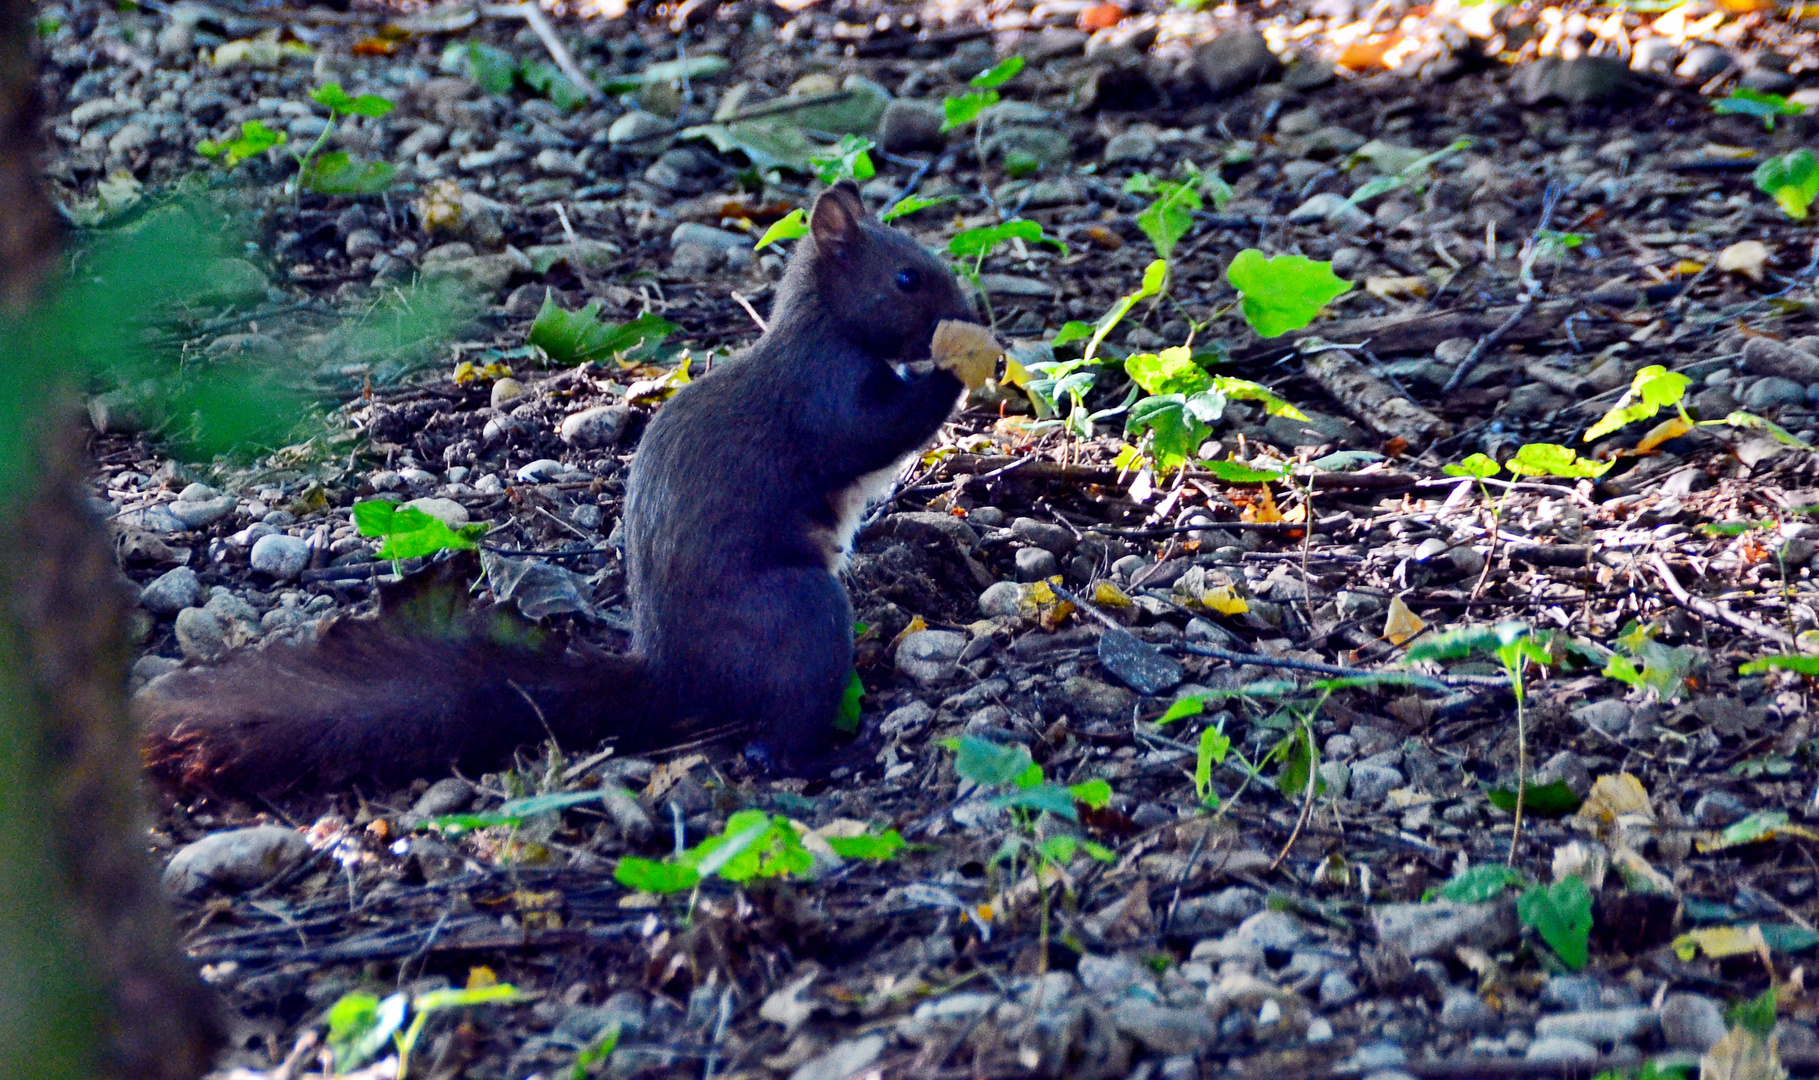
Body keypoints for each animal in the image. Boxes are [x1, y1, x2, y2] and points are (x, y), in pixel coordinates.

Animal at [138, 182, 996, 789]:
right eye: (906, 277)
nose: (971, 312)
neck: (823, 330)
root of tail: (671, 677)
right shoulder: (821, 394)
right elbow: (872, 432)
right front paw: (957, 369)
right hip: (797, 614)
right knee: (773, 744)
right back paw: (830, 758)